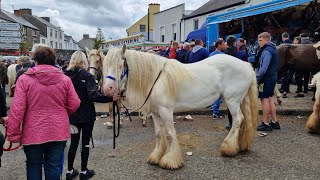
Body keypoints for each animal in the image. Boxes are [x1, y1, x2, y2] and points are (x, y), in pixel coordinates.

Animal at [104, 45, 258, 169]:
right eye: (106, 66)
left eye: (120, 66)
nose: (107, 89)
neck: (156, 79)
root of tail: (246, 65)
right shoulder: (156, 113)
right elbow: (158, 134)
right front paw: (156, 156)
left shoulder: (166, 111)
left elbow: (169, 134)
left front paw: (170, 160)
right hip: (239, 100)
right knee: (243, 120)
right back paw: (240, 146)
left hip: (232, 100)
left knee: (238, 119)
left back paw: (228, 148)